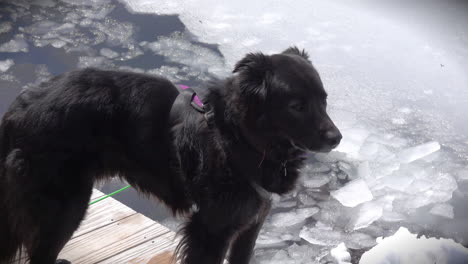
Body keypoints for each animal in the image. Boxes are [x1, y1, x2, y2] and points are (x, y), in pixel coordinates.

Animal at [1, 47, 342, 264]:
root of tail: (18, 107)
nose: (337, 138)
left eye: (324, 100)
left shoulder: (251, 223)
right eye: (297, 105)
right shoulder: (211, 229)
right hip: (65, 206)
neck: (239, 138)